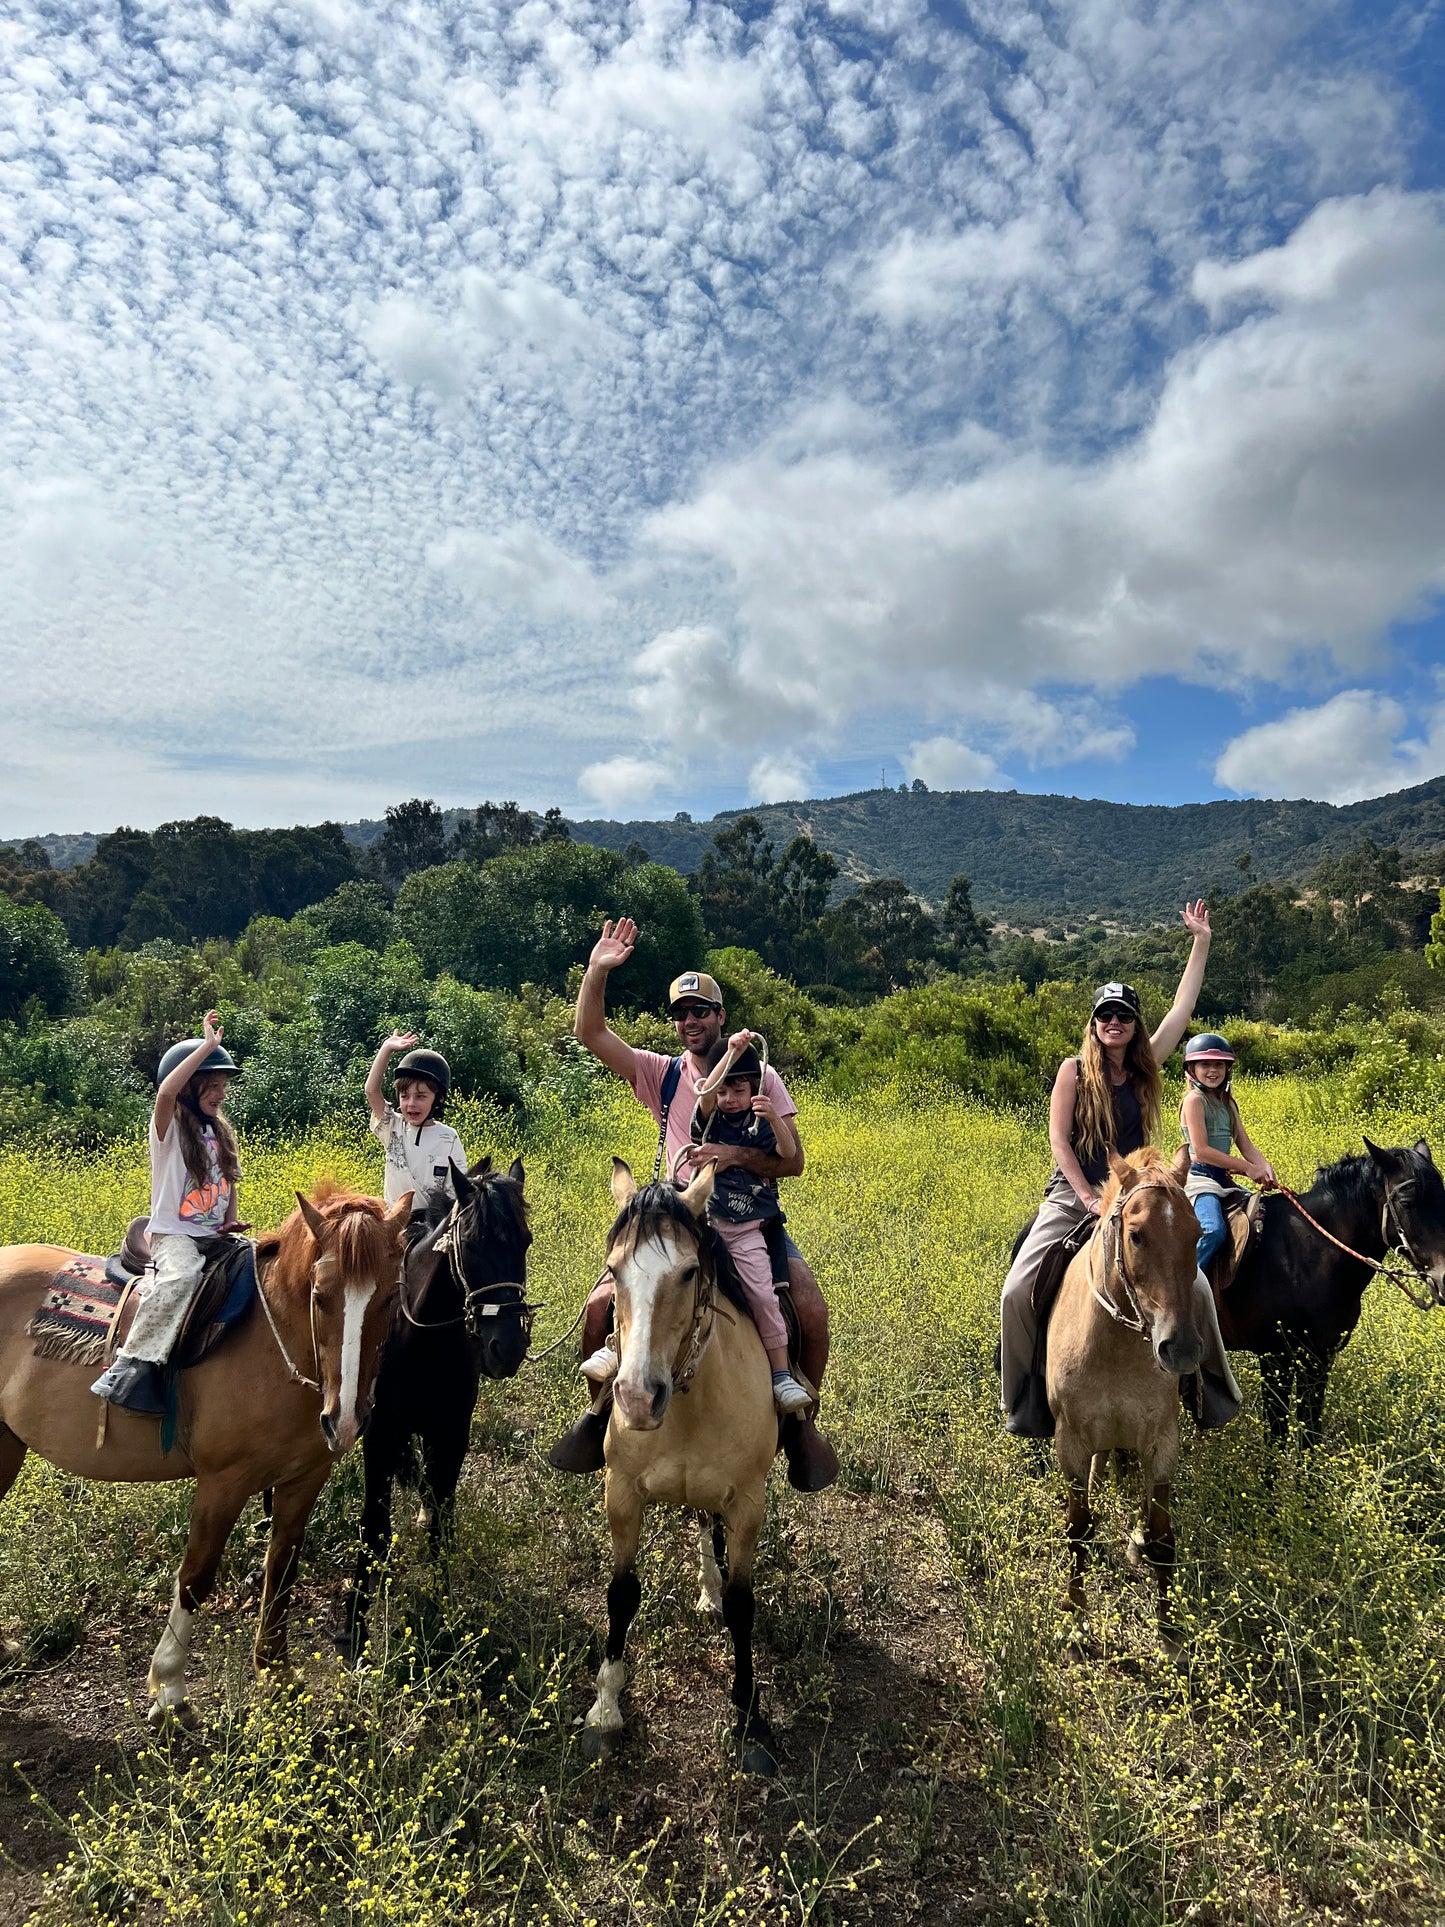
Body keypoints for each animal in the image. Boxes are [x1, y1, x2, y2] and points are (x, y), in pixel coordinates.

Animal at [0, 1179, 412, 1726]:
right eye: (320, 1297)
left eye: (389, 1297)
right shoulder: (223, 1482)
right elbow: (195, 1578)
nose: (344, 1420)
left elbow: (282, 1570)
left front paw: (277, 1674)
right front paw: (170, 1689)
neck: (273, 1346)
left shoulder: (304, 1480)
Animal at [339, 1148, 531, 1664]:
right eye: (471, 1242)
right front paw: (355, 1629)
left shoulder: (451, 1434)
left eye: (525, 1243)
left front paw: (444, 1613)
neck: (422, 1338)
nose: (508, 1348)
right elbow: (373, 1528)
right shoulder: (380, 1435)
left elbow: (441, 1525)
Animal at [578, 1156, 786, 1772]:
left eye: (691, 1272)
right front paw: (606, 1709)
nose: (636, 1399)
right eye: (613, 1270)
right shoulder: (621, 1491)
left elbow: (743, 1603)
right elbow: (621, 1593)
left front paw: (748, 1715)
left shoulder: (749, 1501)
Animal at [1048, 1140, 1202, 1657]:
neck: (1113, 1345)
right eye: (1136, 1236)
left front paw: (1169, 1634)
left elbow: (1162, 1535)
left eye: (1197, 1235)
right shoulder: (1071, 1442)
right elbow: (1078, 1529)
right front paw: (1076, 1622)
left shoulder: (1162, 1441)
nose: (1181, 1348)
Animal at [1217, 1125, 1441, 1449]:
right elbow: (1276, 1435)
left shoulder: (1320, 1357)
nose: (1443, 1279)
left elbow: (1310, 1431)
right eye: (1407, 1203)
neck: (1306, 1256)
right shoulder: (1275, 1357)